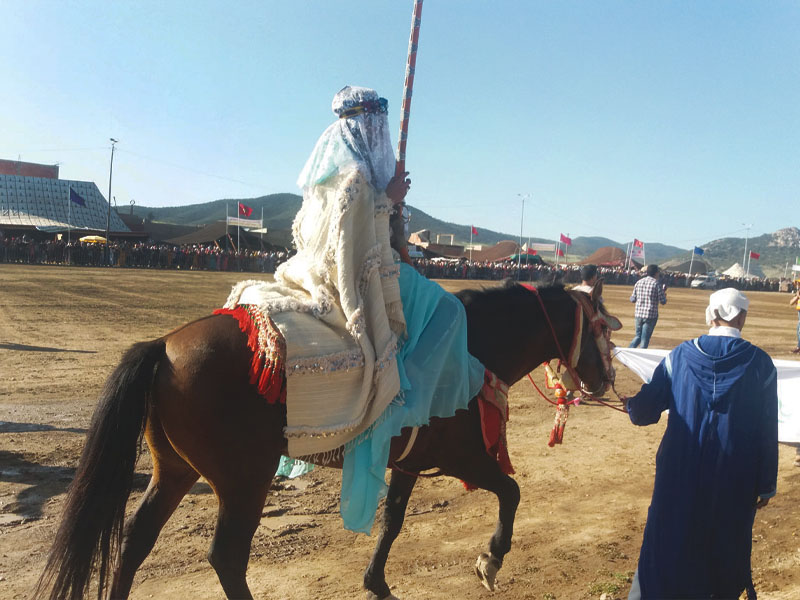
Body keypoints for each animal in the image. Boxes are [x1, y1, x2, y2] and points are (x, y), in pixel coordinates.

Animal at [36, 282, 620, 600]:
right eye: (602, 329)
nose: (606, 381)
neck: (470, 348)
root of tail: (164, 344)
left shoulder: (410, 461)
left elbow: (392, 523)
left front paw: (376, 582)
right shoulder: (465, 456)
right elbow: (511, 494)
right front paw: (491, 559)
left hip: (175, 471)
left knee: (135, 541)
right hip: (244, 481)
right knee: (226, 557)